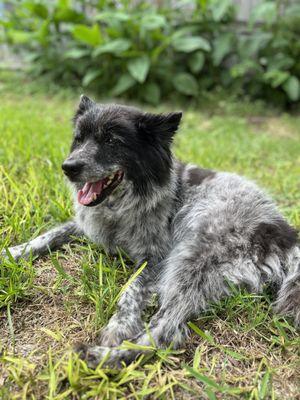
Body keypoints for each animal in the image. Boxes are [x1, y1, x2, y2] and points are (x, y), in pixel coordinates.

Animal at [5, 95, 300, 368]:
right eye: (79, 139)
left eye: (112, 141)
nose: (68, 168)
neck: (120, 206)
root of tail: (282, 233)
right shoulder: (87, 225)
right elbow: (48, 235)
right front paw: (12, 253)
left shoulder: (155, 258)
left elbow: (131, 290)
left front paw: (118, 328)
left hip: (189, 259)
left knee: (165, 332)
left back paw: (102, 356)